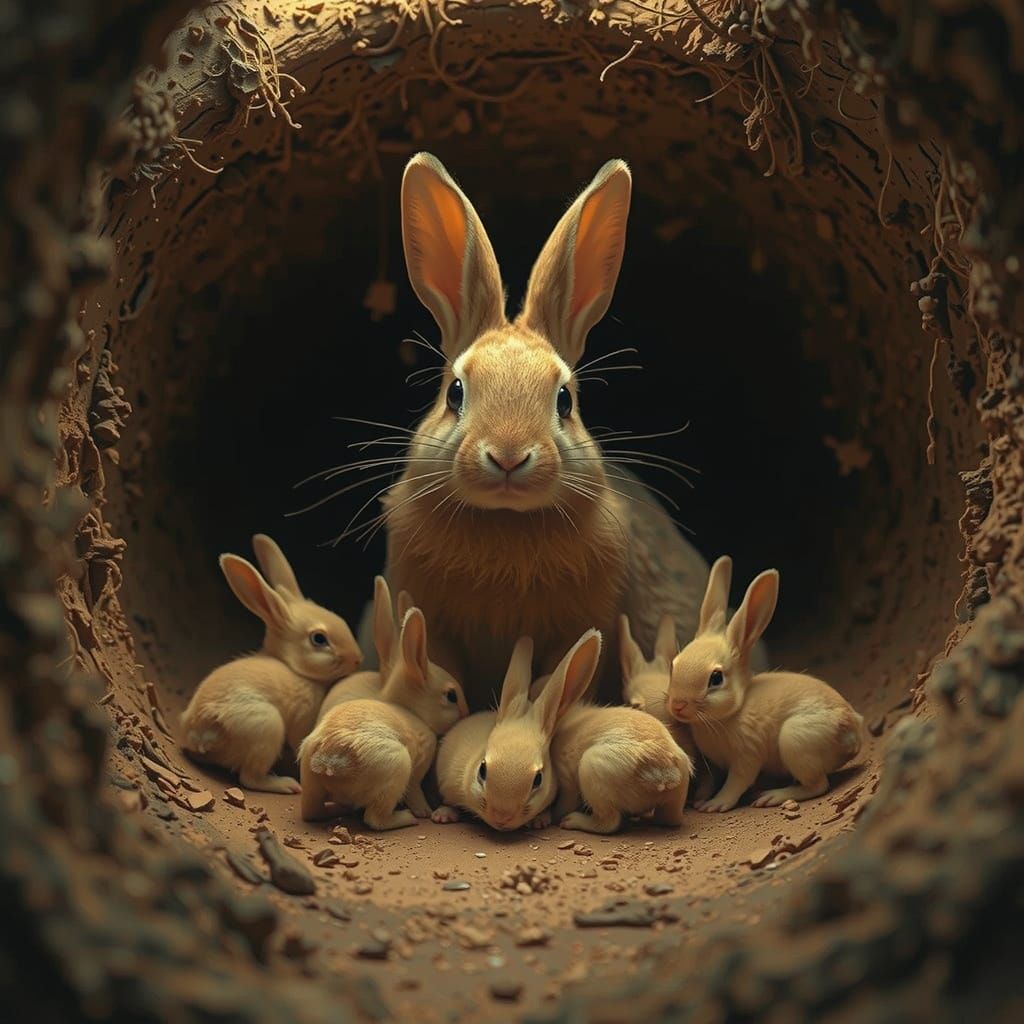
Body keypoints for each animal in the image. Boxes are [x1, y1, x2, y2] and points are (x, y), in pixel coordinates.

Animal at [179, 534, 362, 793]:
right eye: (319, 639)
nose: (358, 659)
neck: (297, 671)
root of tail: (198, 731)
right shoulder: (301, 720)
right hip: (267, 727)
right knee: (249, 778)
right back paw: (287, 785)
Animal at [297, 605, 468, 829]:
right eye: (451, 696)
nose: (466, 713)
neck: (414, 713)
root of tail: (328, 761)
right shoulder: (416, 772)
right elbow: (415, 792)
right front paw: (425, 812)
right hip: (397, 767)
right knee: (375, 819)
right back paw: (407, 818)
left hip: (310, 780)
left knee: (312, 812)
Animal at [668, 556, 866, 812]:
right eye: (674, 665)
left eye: (716, 678)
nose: (677, 706)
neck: (731, 713)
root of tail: (854, 731)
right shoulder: (713, 765)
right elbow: (708, 781)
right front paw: (699, 800)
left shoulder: (747, 755)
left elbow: (735, 783)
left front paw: (715, 805)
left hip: (795, 740)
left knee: (818, 785)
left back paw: (772, 796)